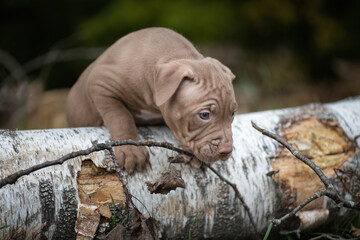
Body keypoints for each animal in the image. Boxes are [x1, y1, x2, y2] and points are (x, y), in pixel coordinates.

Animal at [66, 27, 238, 172]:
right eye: (204, 115)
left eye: (232, 114)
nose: (226, 150)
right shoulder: (100, 83)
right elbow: (120, 116)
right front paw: (131, 151)